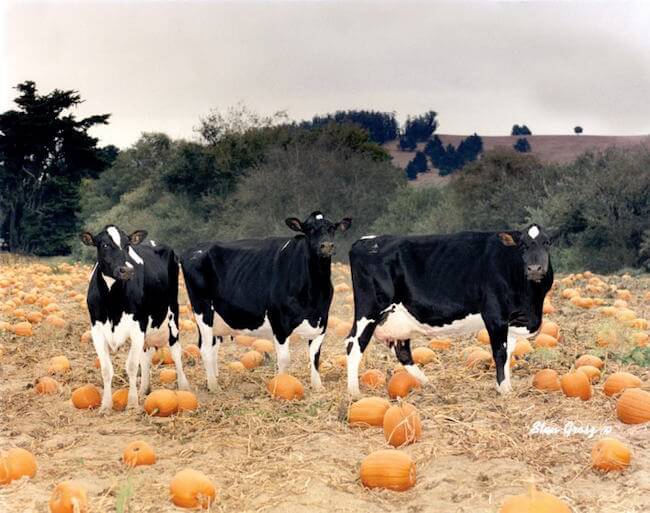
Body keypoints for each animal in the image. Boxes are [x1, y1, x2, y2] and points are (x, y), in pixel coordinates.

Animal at [79, 226, 189, 410]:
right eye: (104, 244)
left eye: (127, 244)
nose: (127, 270)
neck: (112, 302)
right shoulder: (97, 330)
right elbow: (106, 369)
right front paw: (106, 405)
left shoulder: (138, 326)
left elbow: (131, 366)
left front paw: (131, 403)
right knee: (146, 355)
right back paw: (144, 389)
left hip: (173, 312)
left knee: (175, 351)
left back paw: (184, 386)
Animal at [180, 210, 352, 390]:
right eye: (309, 229)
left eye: (332, 228)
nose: (327, 246)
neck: (313, 292)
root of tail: (195, 248)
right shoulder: (279, 322)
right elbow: (284, 359)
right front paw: (281, 383)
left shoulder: (321, 320)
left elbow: (315, 357)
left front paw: (318, 387)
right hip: (202, 309)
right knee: (205, 348)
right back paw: (214, 387)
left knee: (212, 345)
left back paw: (212, 380)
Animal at [344, 224, 552, 396]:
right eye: (522, 245)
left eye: (547, 243)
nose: (534, 268)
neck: (531, 304)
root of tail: (366, 240)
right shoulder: (495, 315)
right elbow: (500, 352)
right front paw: (504, 389)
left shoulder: (514, 320)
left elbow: (509, 353)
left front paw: (506, 385)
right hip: (369, 310)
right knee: (354, 343)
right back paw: (354, 393)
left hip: (398, 318)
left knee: (402, 351)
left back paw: (427, 383)